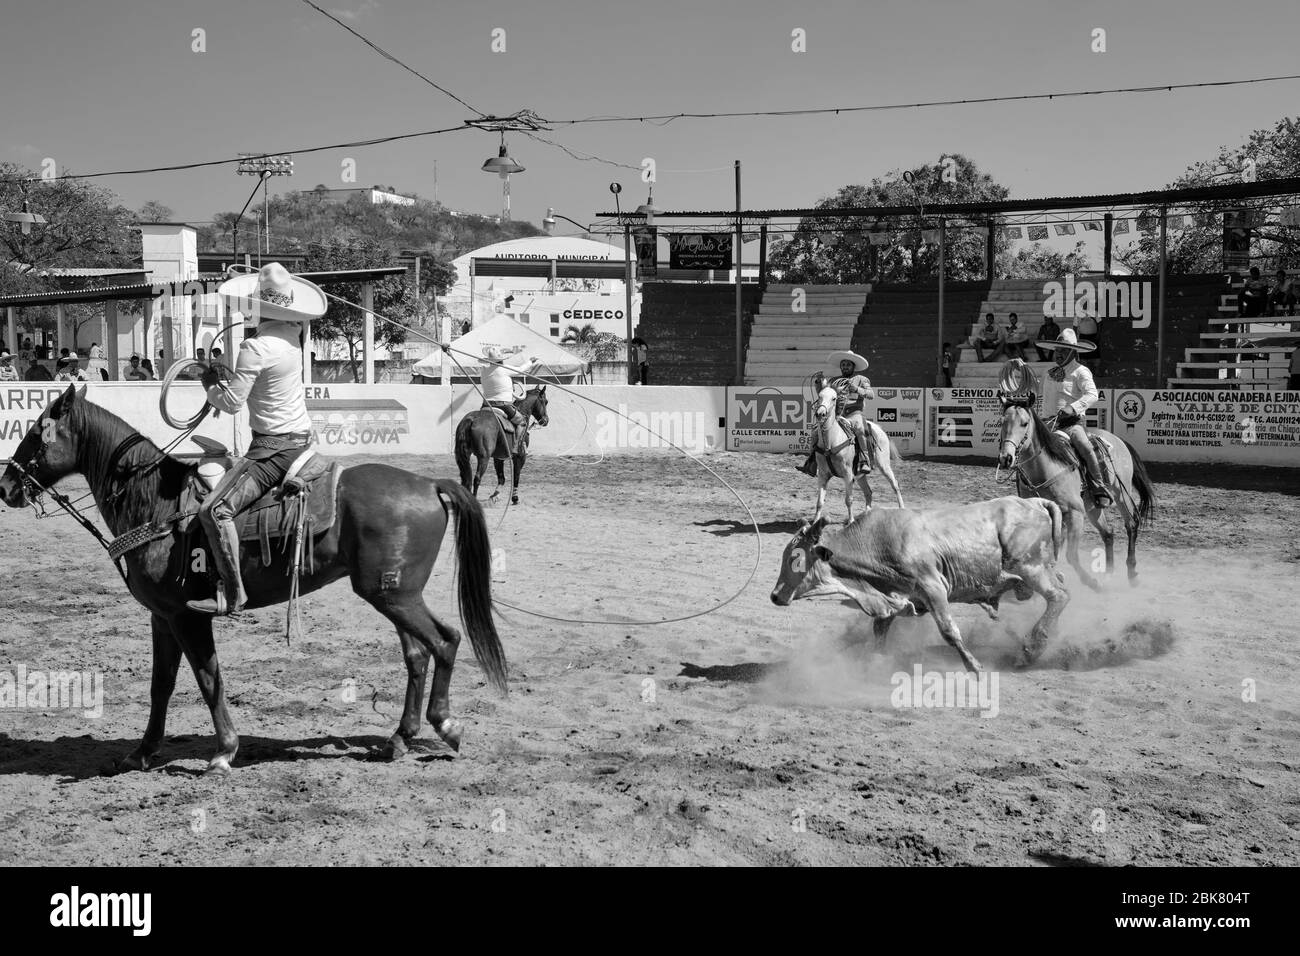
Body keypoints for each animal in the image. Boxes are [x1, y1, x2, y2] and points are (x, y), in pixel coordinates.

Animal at [0, 385, 504, 775]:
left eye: (36, 435)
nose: (6, 487)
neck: (156, 506)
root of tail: (430, 483)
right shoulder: (162, 617)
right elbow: (161, 685)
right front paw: (141, 753)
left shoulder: (188, 617)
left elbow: (208, 678)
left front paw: (224, 752)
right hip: (394, 595)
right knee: (418, 654)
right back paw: (399, 738)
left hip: (393, 594)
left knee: (445, 641)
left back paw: (446, 726)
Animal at [769, 496, 1066, 671]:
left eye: (795, 558)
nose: (775, 595)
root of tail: (1034, 502)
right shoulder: (894, 596)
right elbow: (880, 629)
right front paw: (875, 662)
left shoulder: (933, 587)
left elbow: (948, 630)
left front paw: (974, 666)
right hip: (1038, 570)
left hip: (1031, 567)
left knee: (1059, 596)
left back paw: (1032, 649)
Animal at [811, 387, 904, 522]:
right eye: (819, 396)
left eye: (834, 398)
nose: (820, 413)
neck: (831, 442)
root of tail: (878, 428)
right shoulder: (823, 475)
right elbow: (819, 502)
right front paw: (815, 521)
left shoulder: (848, 474)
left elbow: (849, 500)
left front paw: (851, 521)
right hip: (860, 474)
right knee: (868, 492)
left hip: (884, 465)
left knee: (895, 485)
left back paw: (902, 508)